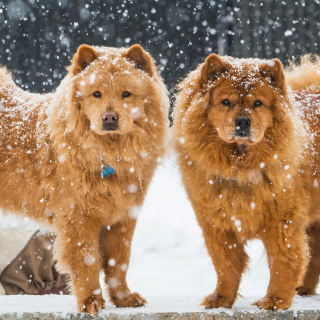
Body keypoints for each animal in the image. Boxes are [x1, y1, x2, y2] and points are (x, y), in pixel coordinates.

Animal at [0, 43, 169, 314]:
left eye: (126, 94)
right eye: (96, 94)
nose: (109, 117)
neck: (110, 155)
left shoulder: (123, 216)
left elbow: (119, 261)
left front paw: (124, 299)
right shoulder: (79, 216)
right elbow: (87, 260)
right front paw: (91, 302)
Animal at [174, 53, 320, 310]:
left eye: (258, 103)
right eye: (225, 102)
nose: (243, 121)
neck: (240, 167)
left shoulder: (282, 222)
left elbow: (283, 262)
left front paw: (274, 301)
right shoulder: (216, 223)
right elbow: (226, 265)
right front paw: (220, 299)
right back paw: (303, 290)